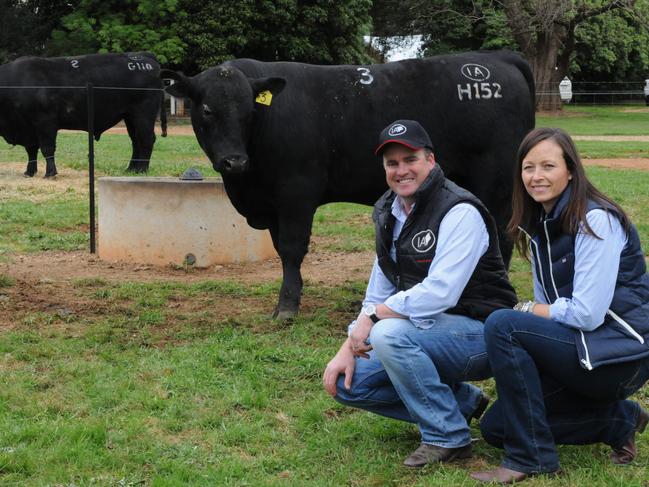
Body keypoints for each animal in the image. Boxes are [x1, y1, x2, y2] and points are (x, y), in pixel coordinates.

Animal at [0, 52, 167, 177]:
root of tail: (143, 56)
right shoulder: (28, 127)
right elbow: (31, 150)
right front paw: (29, 172)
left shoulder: (45, 121)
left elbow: (47, 148)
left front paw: (50, 173)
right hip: (130, 116)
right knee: (135, 140)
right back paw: (131, 169)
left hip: (144, 113)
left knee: (146, 139)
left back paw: (142, 170)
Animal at [163, 50, 536, 320]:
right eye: (207, 110)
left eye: (247, 112)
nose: (235, 161)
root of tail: (497, 58)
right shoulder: (272, 204)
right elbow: (281, 250)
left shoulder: (296, 192)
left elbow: (292, 248)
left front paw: (287, 307)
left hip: (496, 181)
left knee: (500, 234)